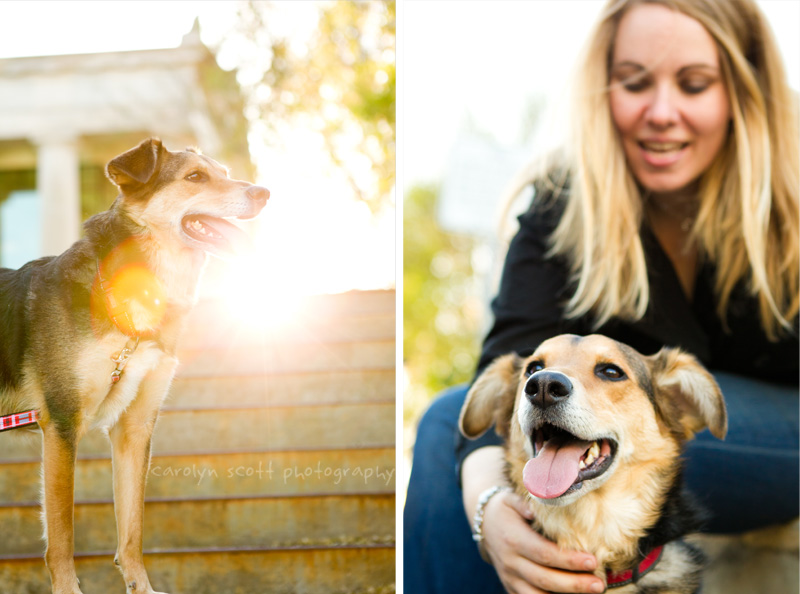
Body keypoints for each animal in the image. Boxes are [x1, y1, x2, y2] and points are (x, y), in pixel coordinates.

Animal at [0, 139, 268, 592]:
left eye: (227, 173)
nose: (264, 193)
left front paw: (142, 586)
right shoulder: (62, 422)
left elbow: (132, 530)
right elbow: (61, 532)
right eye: (195, 177)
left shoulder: (134, 427)